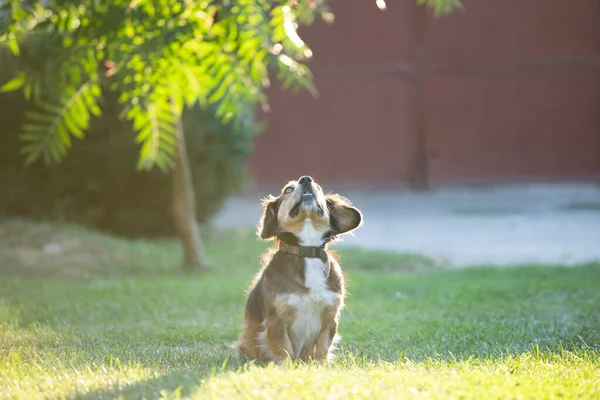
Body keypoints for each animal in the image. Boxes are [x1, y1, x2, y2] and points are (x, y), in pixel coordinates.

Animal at [234, 175, 360, 362]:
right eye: (288, 189)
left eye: (319, 188)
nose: (306, 179)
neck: (307, 250)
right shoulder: (277, 319)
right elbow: (283, 350)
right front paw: (286, 367)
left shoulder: (330, 319)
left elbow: (322, 350)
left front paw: (320, 366)